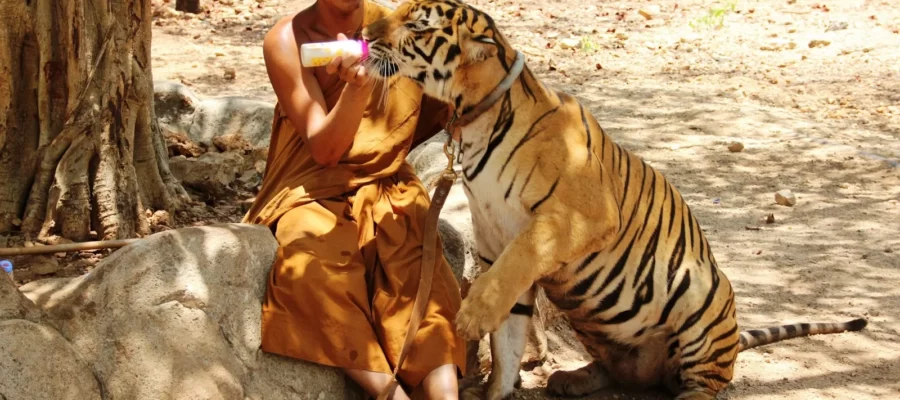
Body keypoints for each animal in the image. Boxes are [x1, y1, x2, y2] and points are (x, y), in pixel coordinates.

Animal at [362, 0, 868, 400]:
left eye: (417, 25)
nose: (366, 34)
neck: (475, 118)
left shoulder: (575, 217)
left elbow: (516, 267)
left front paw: (471, 317)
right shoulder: (493, 241)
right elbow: (508, 342)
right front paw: (497, 389)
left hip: (705, 300)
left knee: (704, 384)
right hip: (600, 328)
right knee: (620, 371)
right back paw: (572, 379)